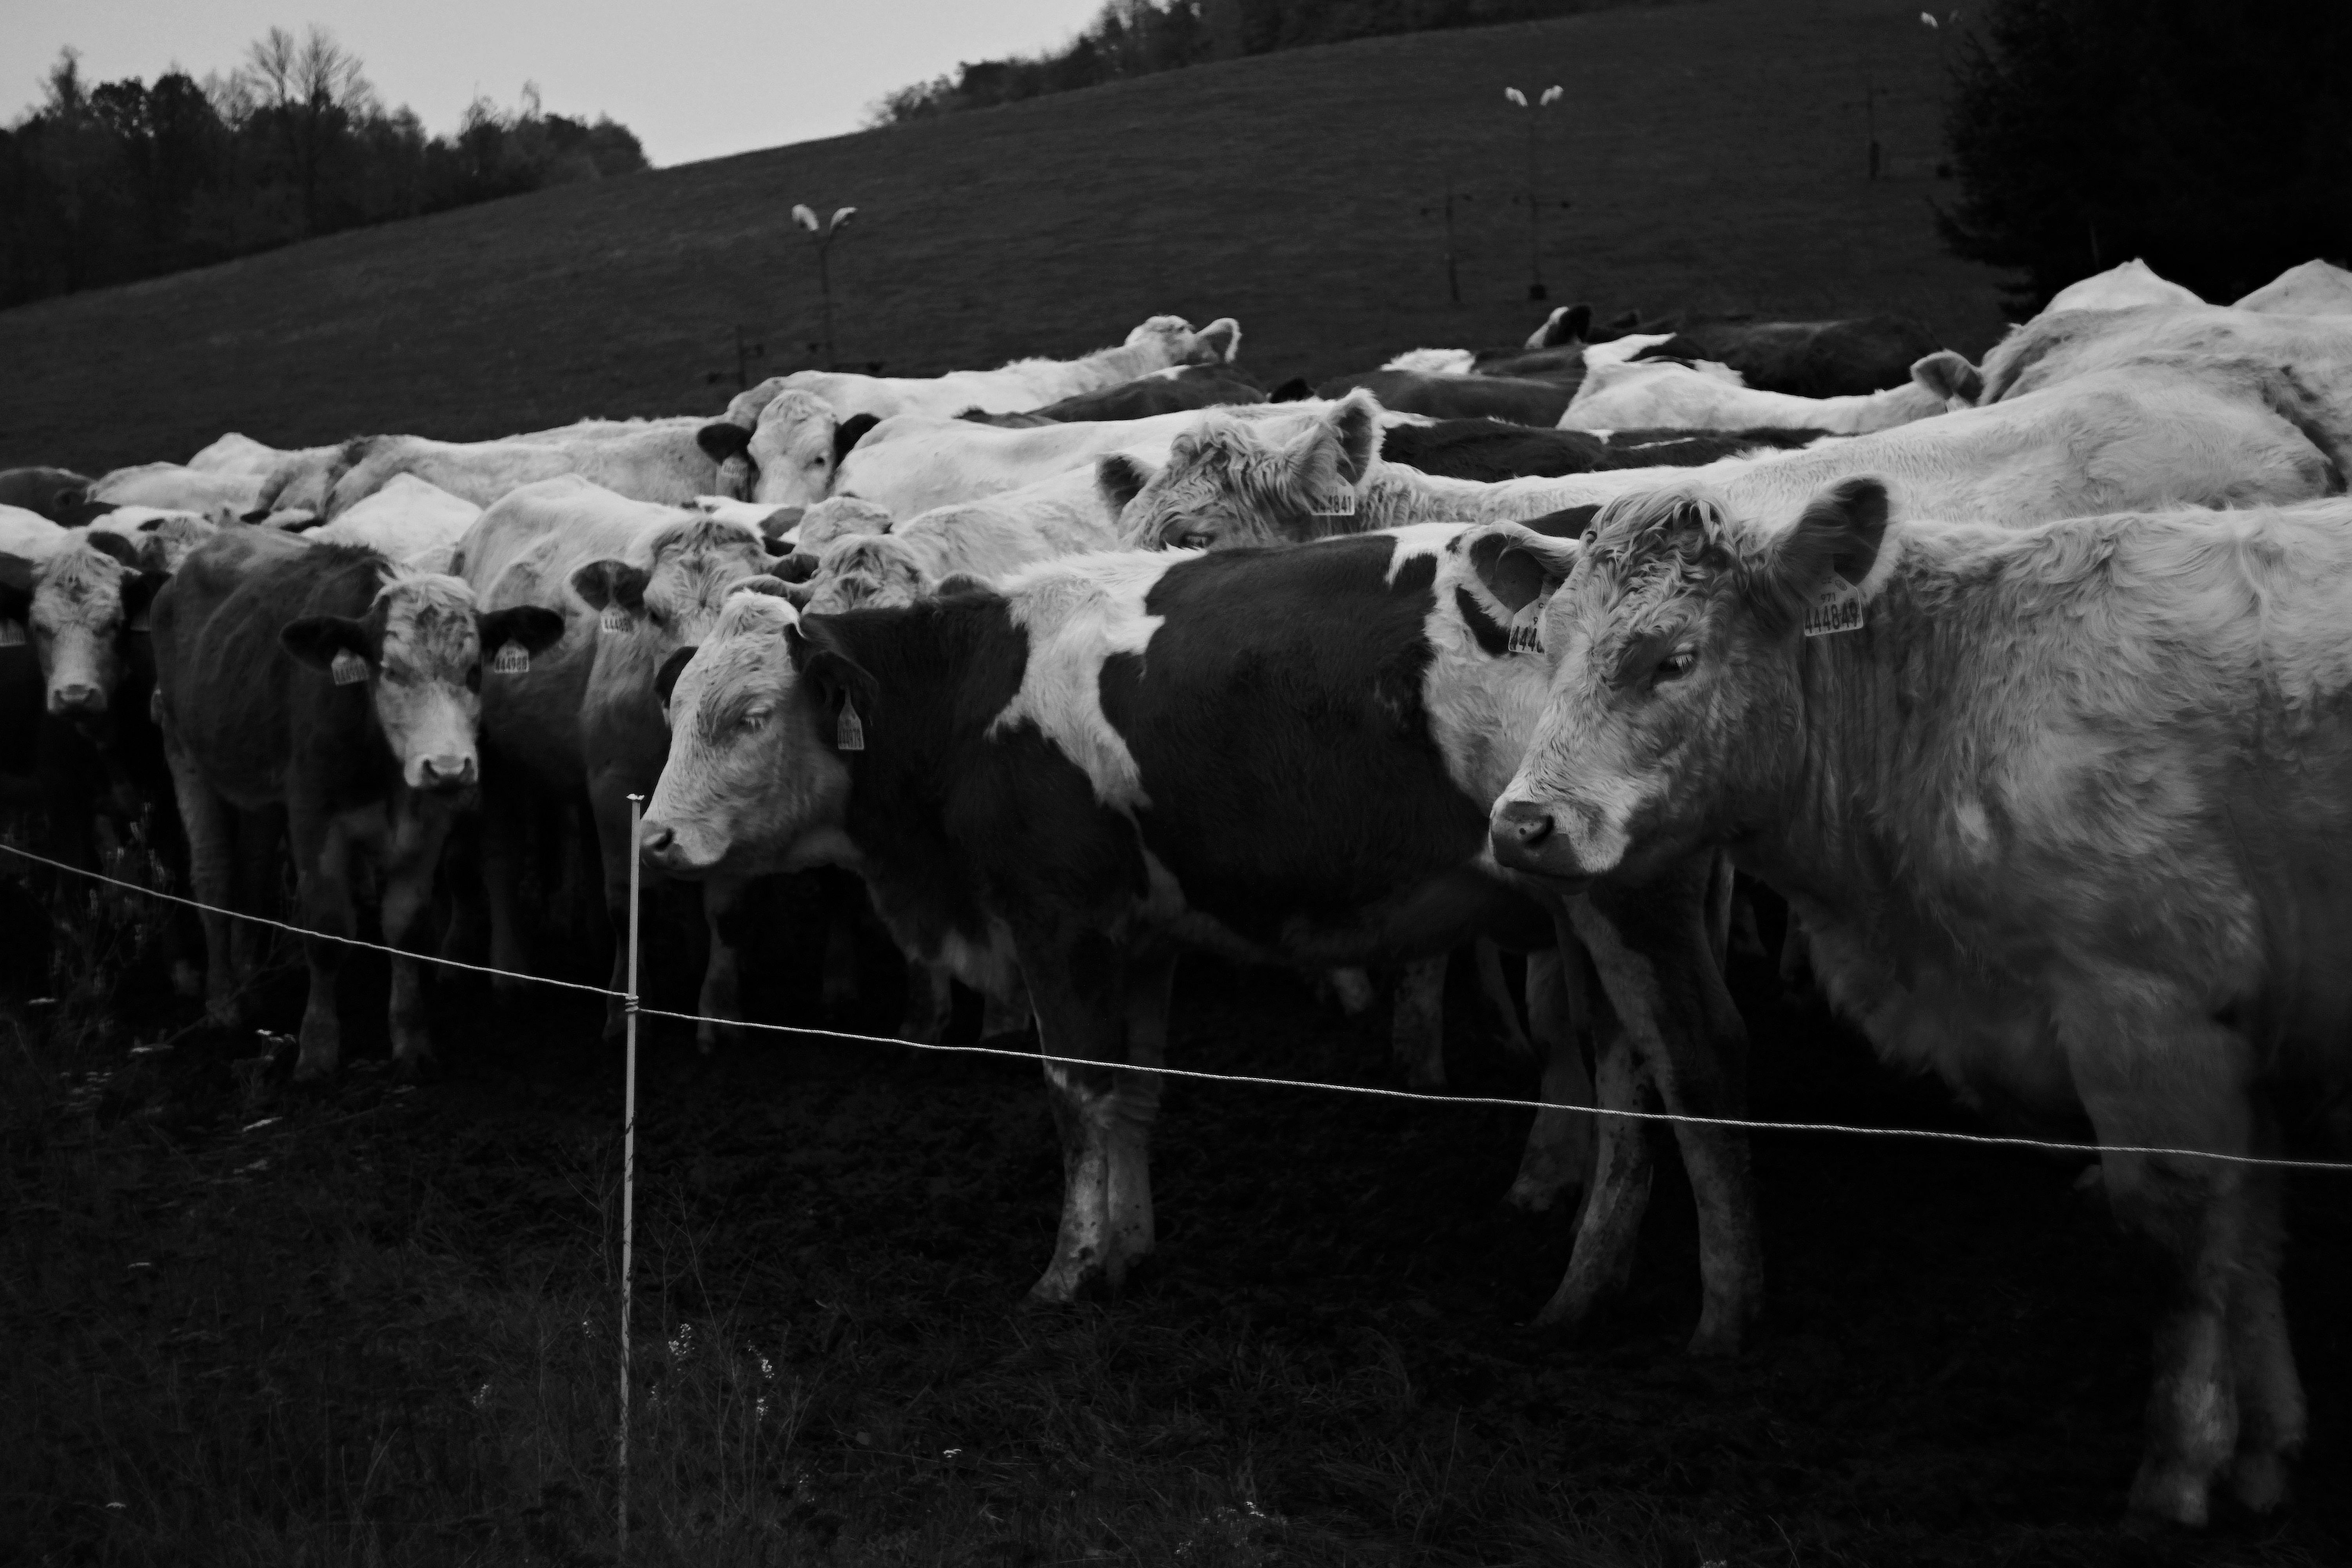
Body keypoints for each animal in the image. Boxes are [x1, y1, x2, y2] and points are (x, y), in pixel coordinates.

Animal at [153, 528, 563, 1078]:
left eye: (476, 669)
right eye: (388, 669)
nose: (448, 767)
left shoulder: (426, 822)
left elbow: (406, 928)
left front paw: (411, 1040)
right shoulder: (314, 816)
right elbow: (327, 932)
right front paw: (318, 1048)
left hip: (258, 793)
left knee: (252, 873)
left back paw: (250, 985)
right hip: (184, 754)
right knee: (214, 875)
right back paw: (223, 1001)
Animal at [639, 528, 1760, 1349]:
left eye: (750, 715)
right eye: (678, 709)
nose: (654, 839)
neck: (973, 693)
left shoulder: (1059, 921)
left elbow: (1077, 1094)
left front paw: (1067, 1270)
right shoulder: (1141, 936)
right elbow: (1135, 1092)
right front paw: (1126, 1248)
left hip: (1630, 908)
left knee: (1696, 1070)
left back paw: (1716, 1316)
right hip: (1583, 920)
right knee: (1622, 1078)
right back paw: (1590, 1276)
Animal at [1486, 478, 2352, 1528]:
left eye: (1675, 658)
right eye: (1546, 646)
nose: (1521, 823)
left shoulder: (2146, 1012)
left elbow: (2181, 1243)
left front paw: (2178, 1469)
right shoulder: (2240, 1033)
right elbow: (2250, 1231)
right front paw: (2265, 1449)